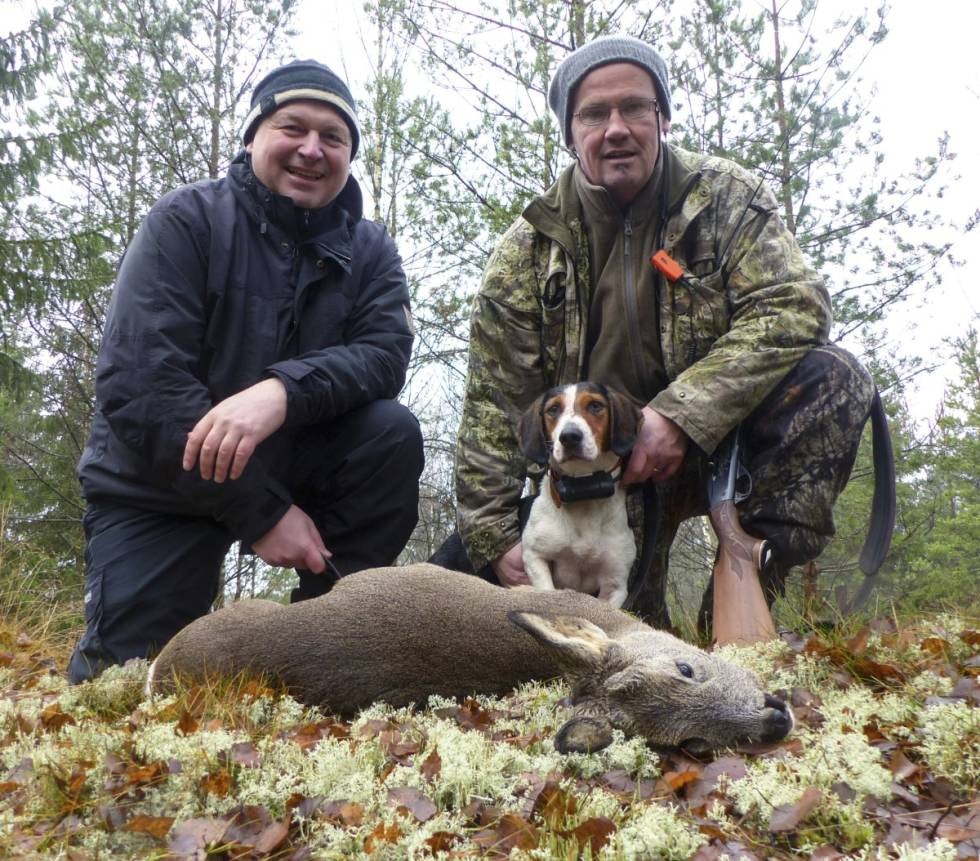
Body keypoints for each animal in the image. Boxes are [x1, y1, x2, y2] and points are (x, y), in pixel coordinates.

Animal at [516, 380, 648, 608]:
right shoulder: (535, 556)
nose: (569, 437)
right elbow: (546, 589)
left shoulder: (615, 584)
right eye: (553, 409)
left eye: (595, 405)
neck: (584, 490)